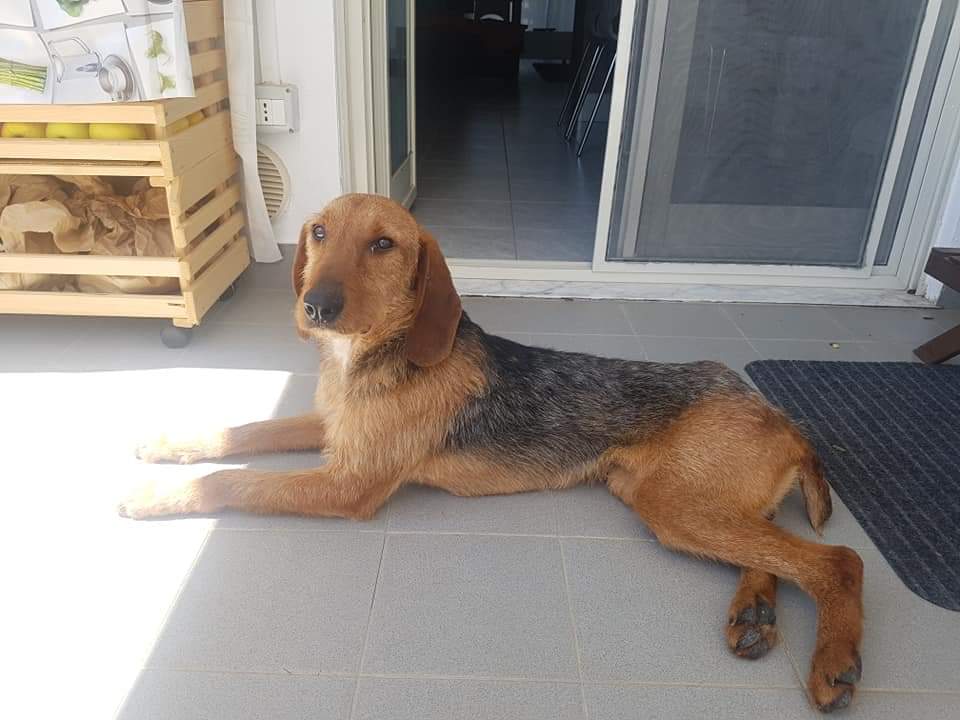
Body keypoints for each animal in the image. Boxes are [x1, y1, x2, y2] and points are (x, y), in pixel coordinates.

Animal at [122, 193, 864, 712]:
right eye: (319, 233)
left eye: (384, 244)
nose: (316, 305)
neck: (367, 358)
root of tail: (782, 415)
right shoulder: (329, 429)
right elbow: (244, 434)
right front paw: (170, 443)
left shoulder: (349, 483)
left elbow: (235, 481)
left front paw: (156, 497)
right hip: (670, 496)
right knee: (774, 549)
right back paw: (754, 615)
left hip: (673, 504)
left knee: (836, 561)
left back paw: (834, 660)